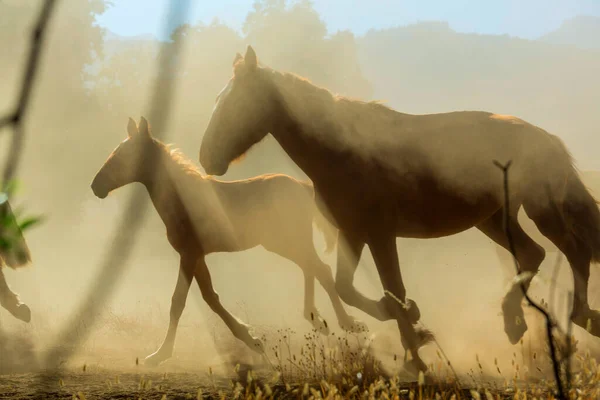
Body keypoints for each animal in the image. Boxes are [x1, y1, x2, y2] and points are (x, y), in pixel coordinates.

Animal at [91, 117, 364, 368]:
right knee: (311, 268)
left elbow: (178, 302)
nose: (96, 187)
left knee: (321, 270)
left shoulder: (189, 254)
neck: (182, 198)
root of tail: (303, 187)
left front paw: (159, 355)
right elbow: (211, 297)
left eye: (125, 154)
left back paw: (347, 323)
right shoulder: (197, 255)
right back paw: (317, 319)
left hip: (287, 241)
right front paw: (252, 339)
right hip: (285, 242)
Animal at [199, 45, 600, 374]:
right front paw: (412, 329)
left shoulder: (380, 234)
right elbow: (349, 288)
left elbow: (393, 289)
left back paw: (577, 317)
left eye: (235, 103)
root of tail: (545, 138)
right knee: (535, 254)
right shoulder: (353, 232)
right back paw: (516, 321)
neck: (338, 152)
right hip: (494, 220)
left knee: (573, 252)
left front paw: (415, 350)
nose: (206, 159)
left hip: (540, 210)